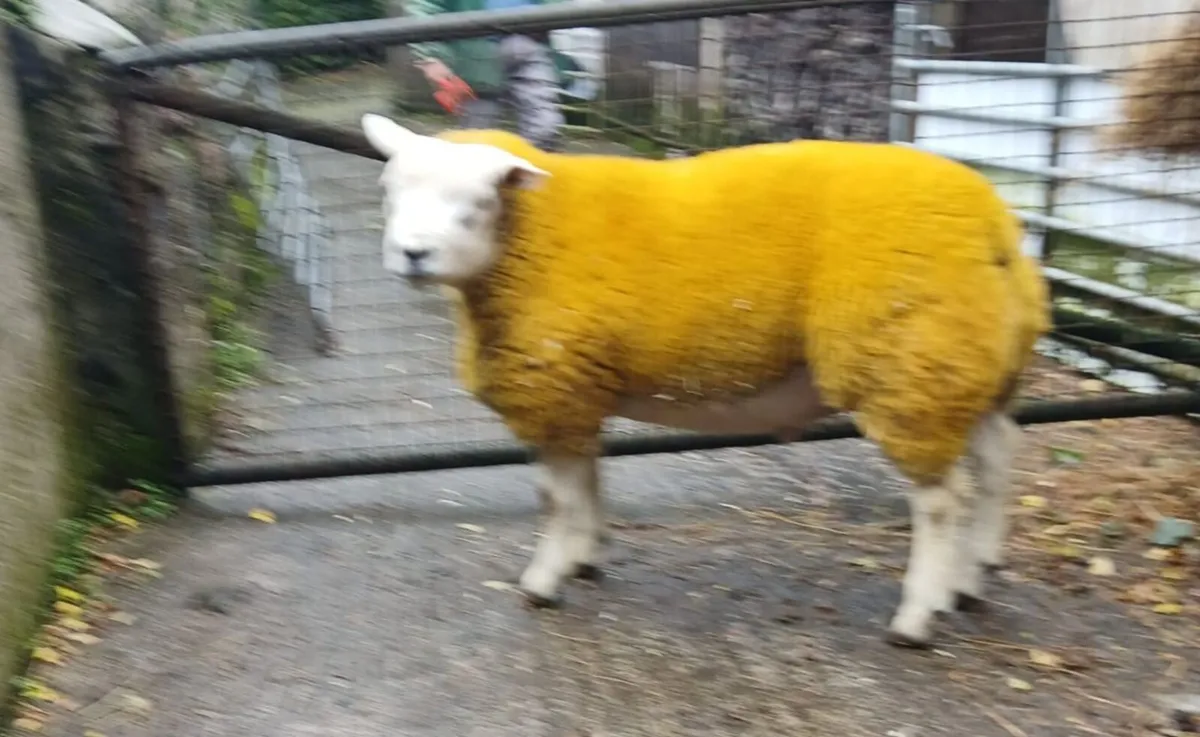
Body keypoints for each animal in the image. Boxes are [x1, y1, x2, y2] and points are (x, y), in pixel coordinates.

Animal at [360, 113, 1051, 647]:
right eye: (389, 190)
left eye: (477, 204)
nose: (412, 254)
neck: (532, 238)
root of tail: (995, 224)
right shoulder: (580, 386)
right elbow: (586, 480)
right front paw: (587, 554)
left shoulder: (554, 383)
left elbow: (556, 497)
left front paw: (545, 580)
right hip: (968, 365)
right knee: (996, 460)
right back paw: (970, 579)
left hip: (907, 365)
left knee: (940, 500)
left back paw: (918, 614)